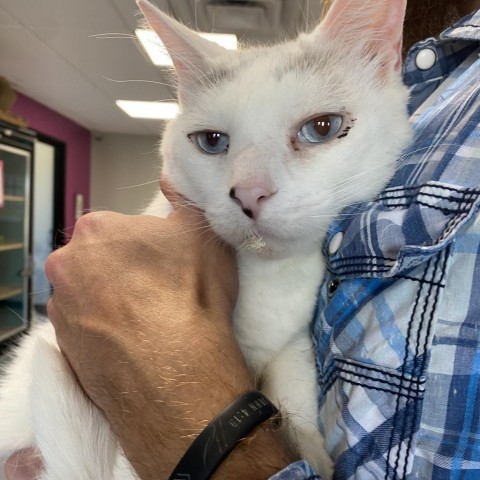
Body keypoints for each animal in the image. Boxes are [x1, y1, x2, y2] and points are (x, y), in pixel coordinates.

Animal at [0, 0, 412, 478]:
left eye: (322, 128)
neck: (269, 283)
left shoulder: (292, 341)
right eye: (211, 141)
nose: (249, 193)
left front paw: (310, 448)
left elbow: (295, 378)